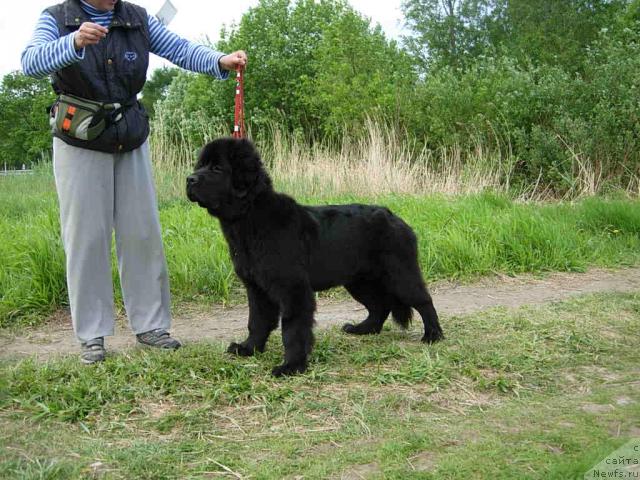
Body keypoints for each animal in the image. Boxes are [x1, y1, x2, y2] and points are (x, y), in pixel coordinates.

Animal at [188, 137, 442, 376]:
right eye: (199, 166)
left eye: (217, 168)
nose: (189, 179)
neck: (250, 218)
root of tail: (396, 219)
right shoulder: (257, 288)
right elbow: (257, 322)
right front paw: (248, 349)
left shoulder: (293, 288)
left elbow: (292, 329)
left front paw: (291, 366)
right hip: (358, 281)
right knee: (379, 305)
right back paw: (363, 329)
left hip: (400, 274)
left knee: (423, 300)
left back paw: (433, 335)